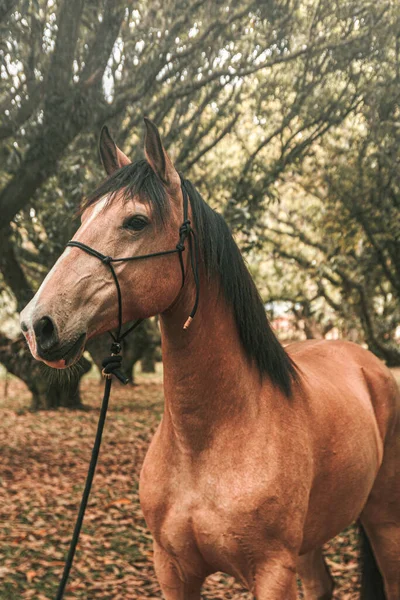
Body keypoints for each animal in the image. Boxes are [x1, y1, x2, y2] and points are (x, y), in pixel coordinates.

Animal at [20, 119, 398, 596]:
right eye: (85, 217)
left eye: (137, 221)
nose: (36, 325)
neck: (205, 444)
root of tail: (369, 364)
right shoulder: (172, 570)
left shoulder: (273, 573)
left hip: (384, 521)